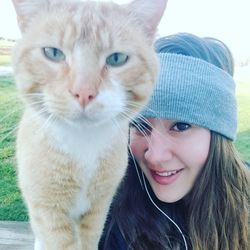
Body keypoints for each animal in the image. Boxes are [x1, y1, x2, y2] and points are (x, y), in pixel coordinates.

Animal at [12, 0, 168, 249]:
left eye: (116, 59)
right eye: (53, 53)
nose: (83, 92)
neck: (83, 142)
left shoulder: (98, 210)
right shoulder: (49, 212)